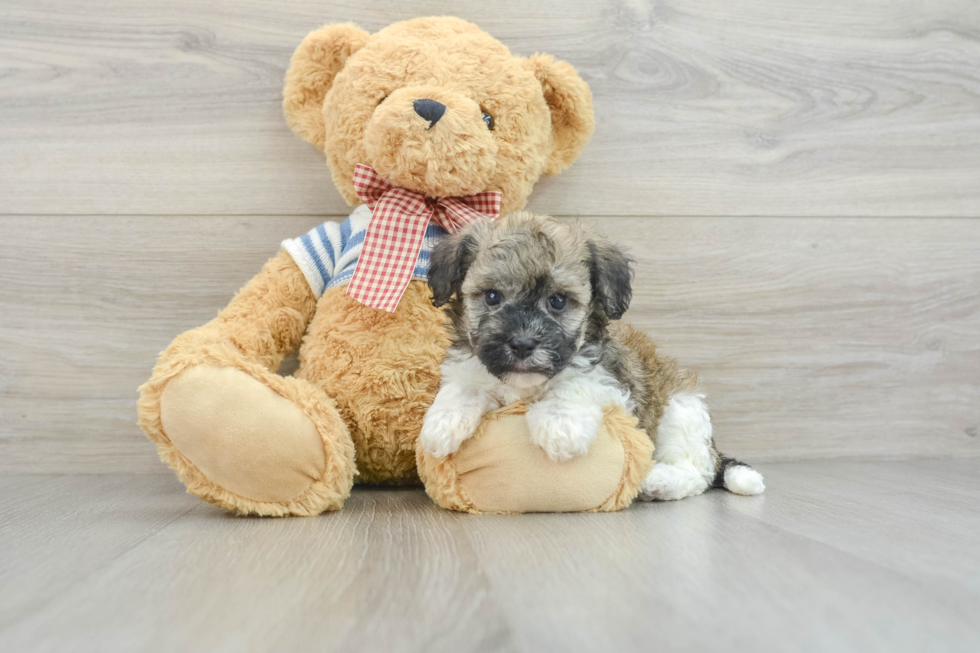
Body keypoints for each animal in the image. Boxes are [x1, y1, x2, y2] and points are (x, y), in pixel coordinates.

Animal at [418, 211, 760, 496]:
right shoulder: (470, 365)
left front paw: (559, 424)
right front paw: (443, 421)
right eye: (492, 297)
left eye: (558, 301)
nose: (523, 344)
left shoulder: (614, 385)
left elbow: (575, 383)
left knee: (696, 472)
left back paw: (657, 480)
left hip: (681, 411)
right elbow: (463, 384)